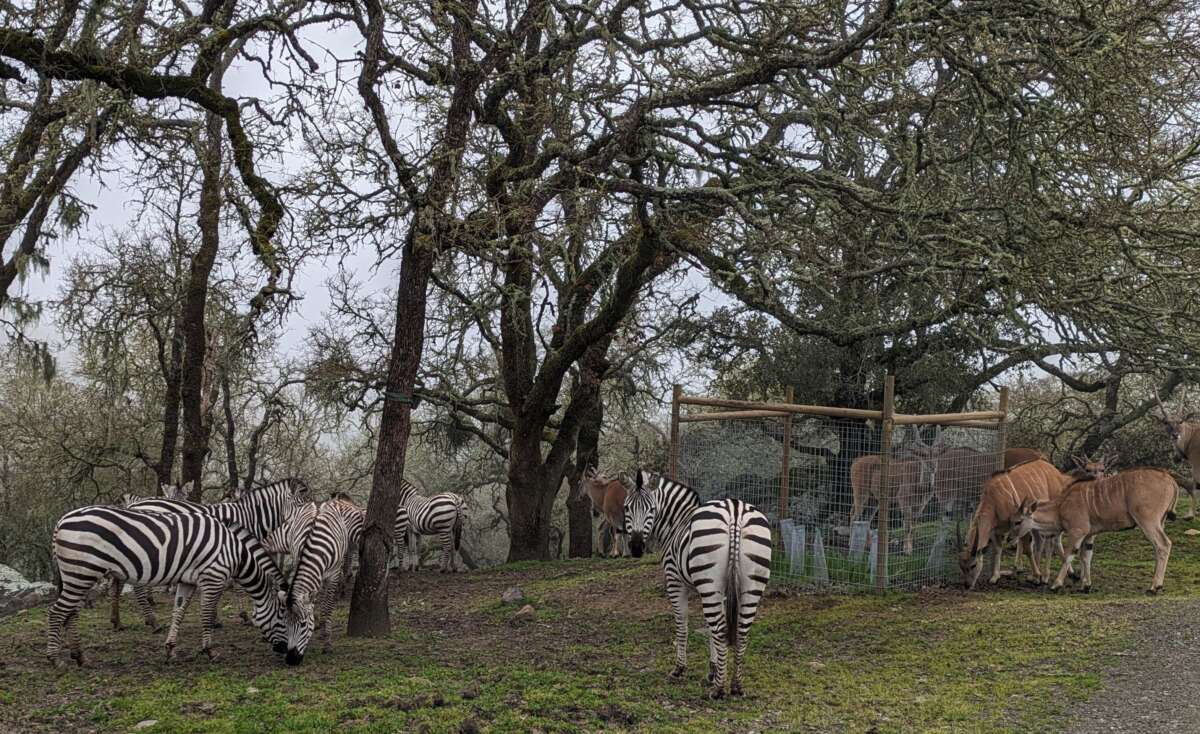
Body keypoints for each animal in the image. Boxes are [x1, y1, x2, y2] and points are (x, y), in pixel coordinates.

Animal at [48, 505, 288, 667]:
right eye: (283, 617)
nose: (286, 652)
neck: (234, 551)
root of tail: (61, 520)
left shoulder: (187, 581)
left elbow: (178, 612)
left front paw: (170, 649)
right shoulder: (213, 577)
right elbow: (206, 615)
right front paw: (210, 651)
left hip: (79, 575)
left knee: (71, 613)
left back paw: (80, 656)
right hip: (82, 572)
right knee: (56, 611)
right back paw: (55, 659)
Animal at [116, 478, 311, 629]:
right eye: (302, 500)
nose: (311, 518)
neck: (250, 516)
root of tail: (134, 504)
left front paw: (215, 617)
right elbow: (235, 585)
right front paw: (243, 615)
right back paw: (152, 621)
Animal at [280, 498, 359, 665]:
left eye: (303, 625)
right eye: (285, 624)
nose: (291, 660)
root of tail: (318, 502)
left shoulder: (333, 575)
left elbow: (327, 607)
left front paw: (327, 643)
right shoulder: (298, 561)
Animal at [623, 470, 773, 699]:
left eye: (651, 509)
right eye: (627, 508)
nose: (637, 548)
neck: (677, 521)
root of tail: (734, 511)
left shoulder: (675, 581)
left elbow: (682, 625)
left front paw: (680, 669)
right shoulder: (721, 591)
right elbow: (709, 629)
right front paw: (713, 670)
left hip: (708, 581)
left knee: (721, 628)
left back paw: (719, 690)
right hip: (750, 583)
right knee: (741, 630)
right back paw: (736, 686)